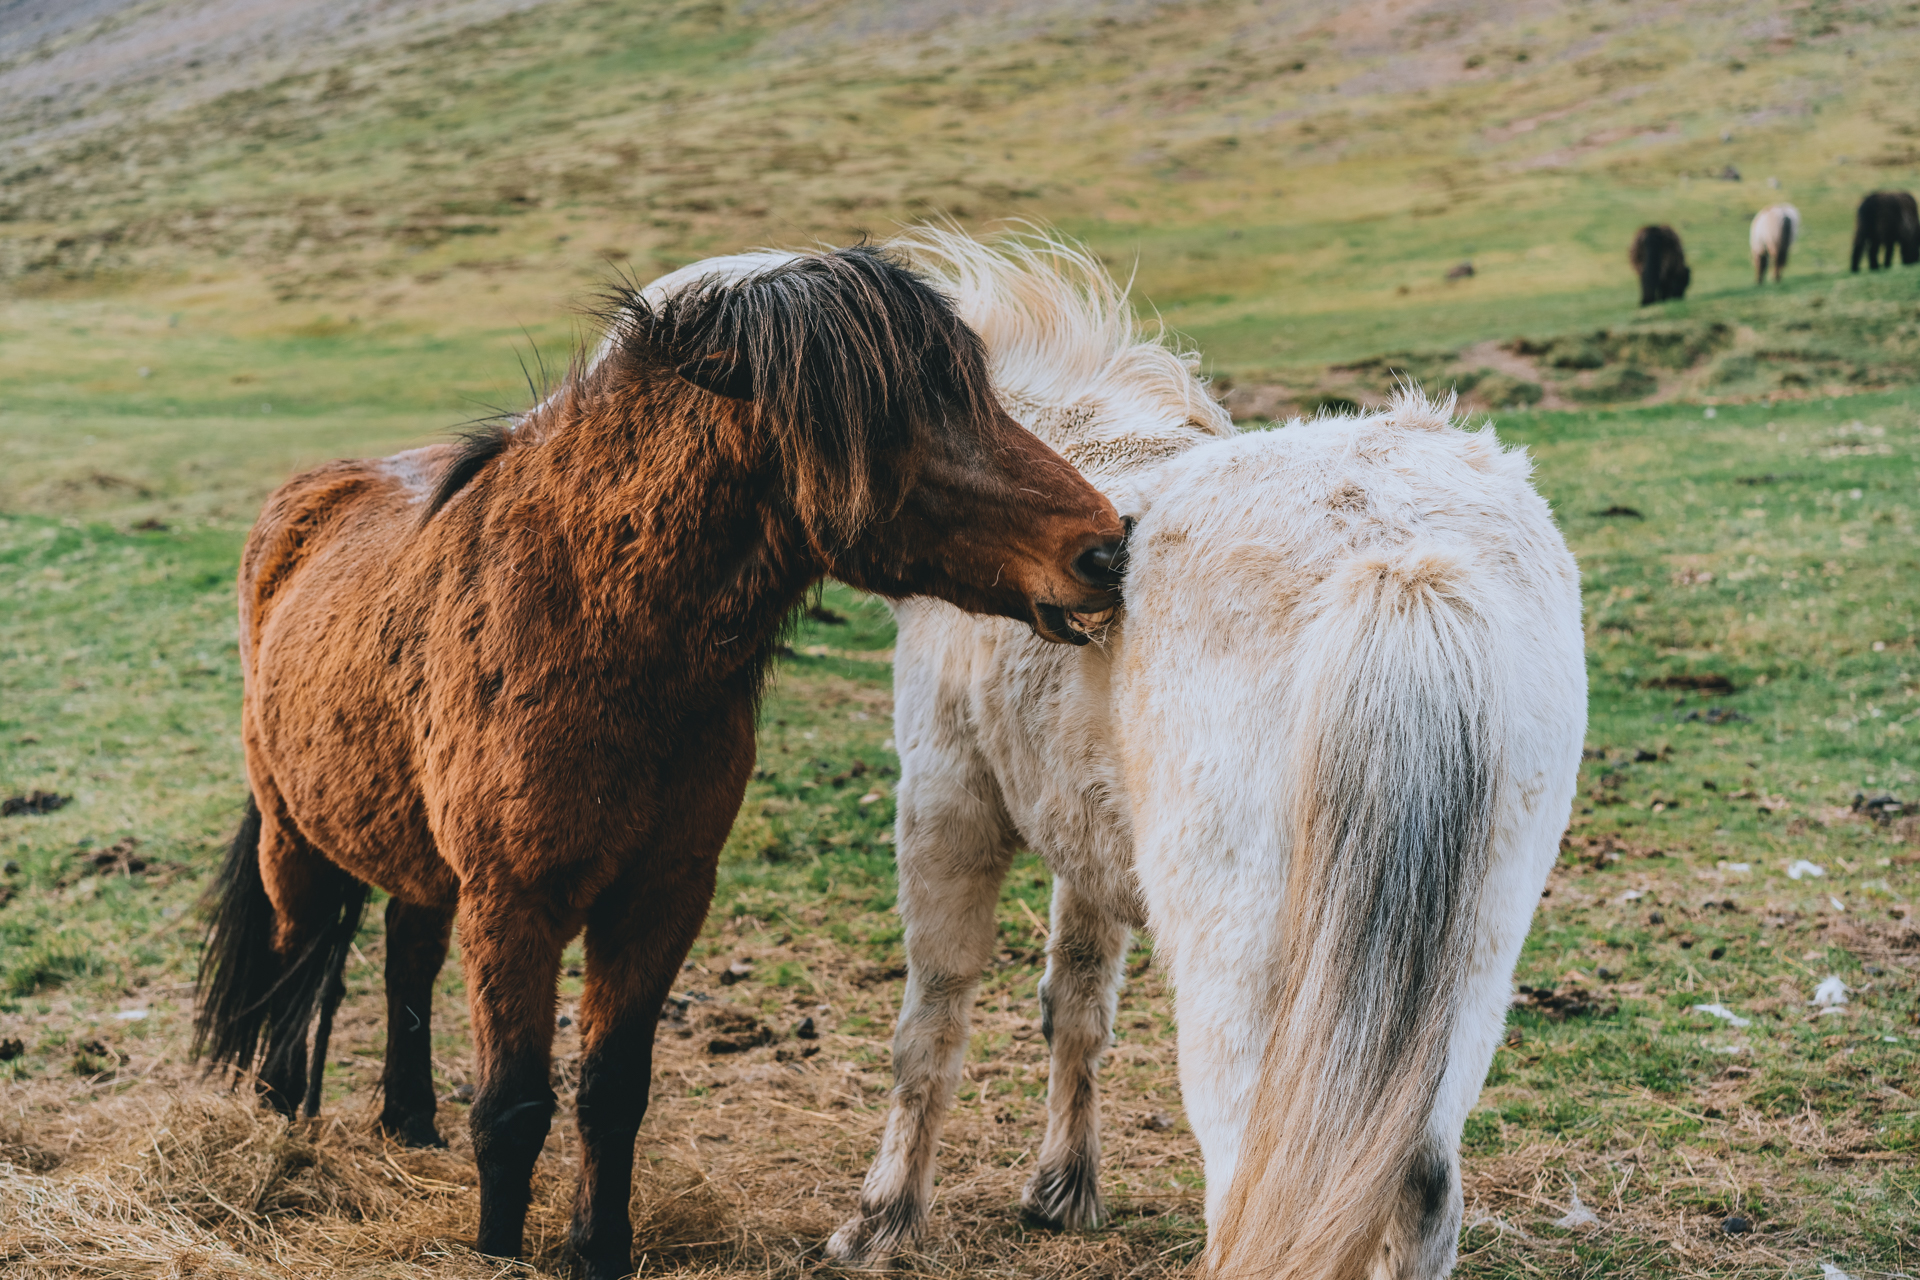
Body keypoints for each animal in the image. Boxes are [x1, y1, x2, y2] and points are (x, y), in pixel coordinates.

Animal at [194, 245, 1121, 1274]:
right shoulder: (514, 905)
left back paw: (408, 1124)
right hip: (293, 837)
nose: (1106, 550)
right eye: (890, 420)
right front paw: (498, 1252)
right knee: (293, 969)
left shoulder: (662, 897)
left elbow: (612, 1091)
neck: (587, 625)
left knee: (404, 955)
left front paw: (597, 1249)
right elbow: (513, 1108)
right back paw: (284, 1126)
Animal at [637, 233, 1582, 1280]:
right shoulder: (1088, 842)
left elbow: (932, 1014)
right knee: (1417, 1187)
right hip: (1459, 979)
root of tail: (1398, 564)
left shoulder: (945, 799)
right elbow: (1078, 1001)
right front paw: (1063, 1191)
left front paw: (883, 1218)